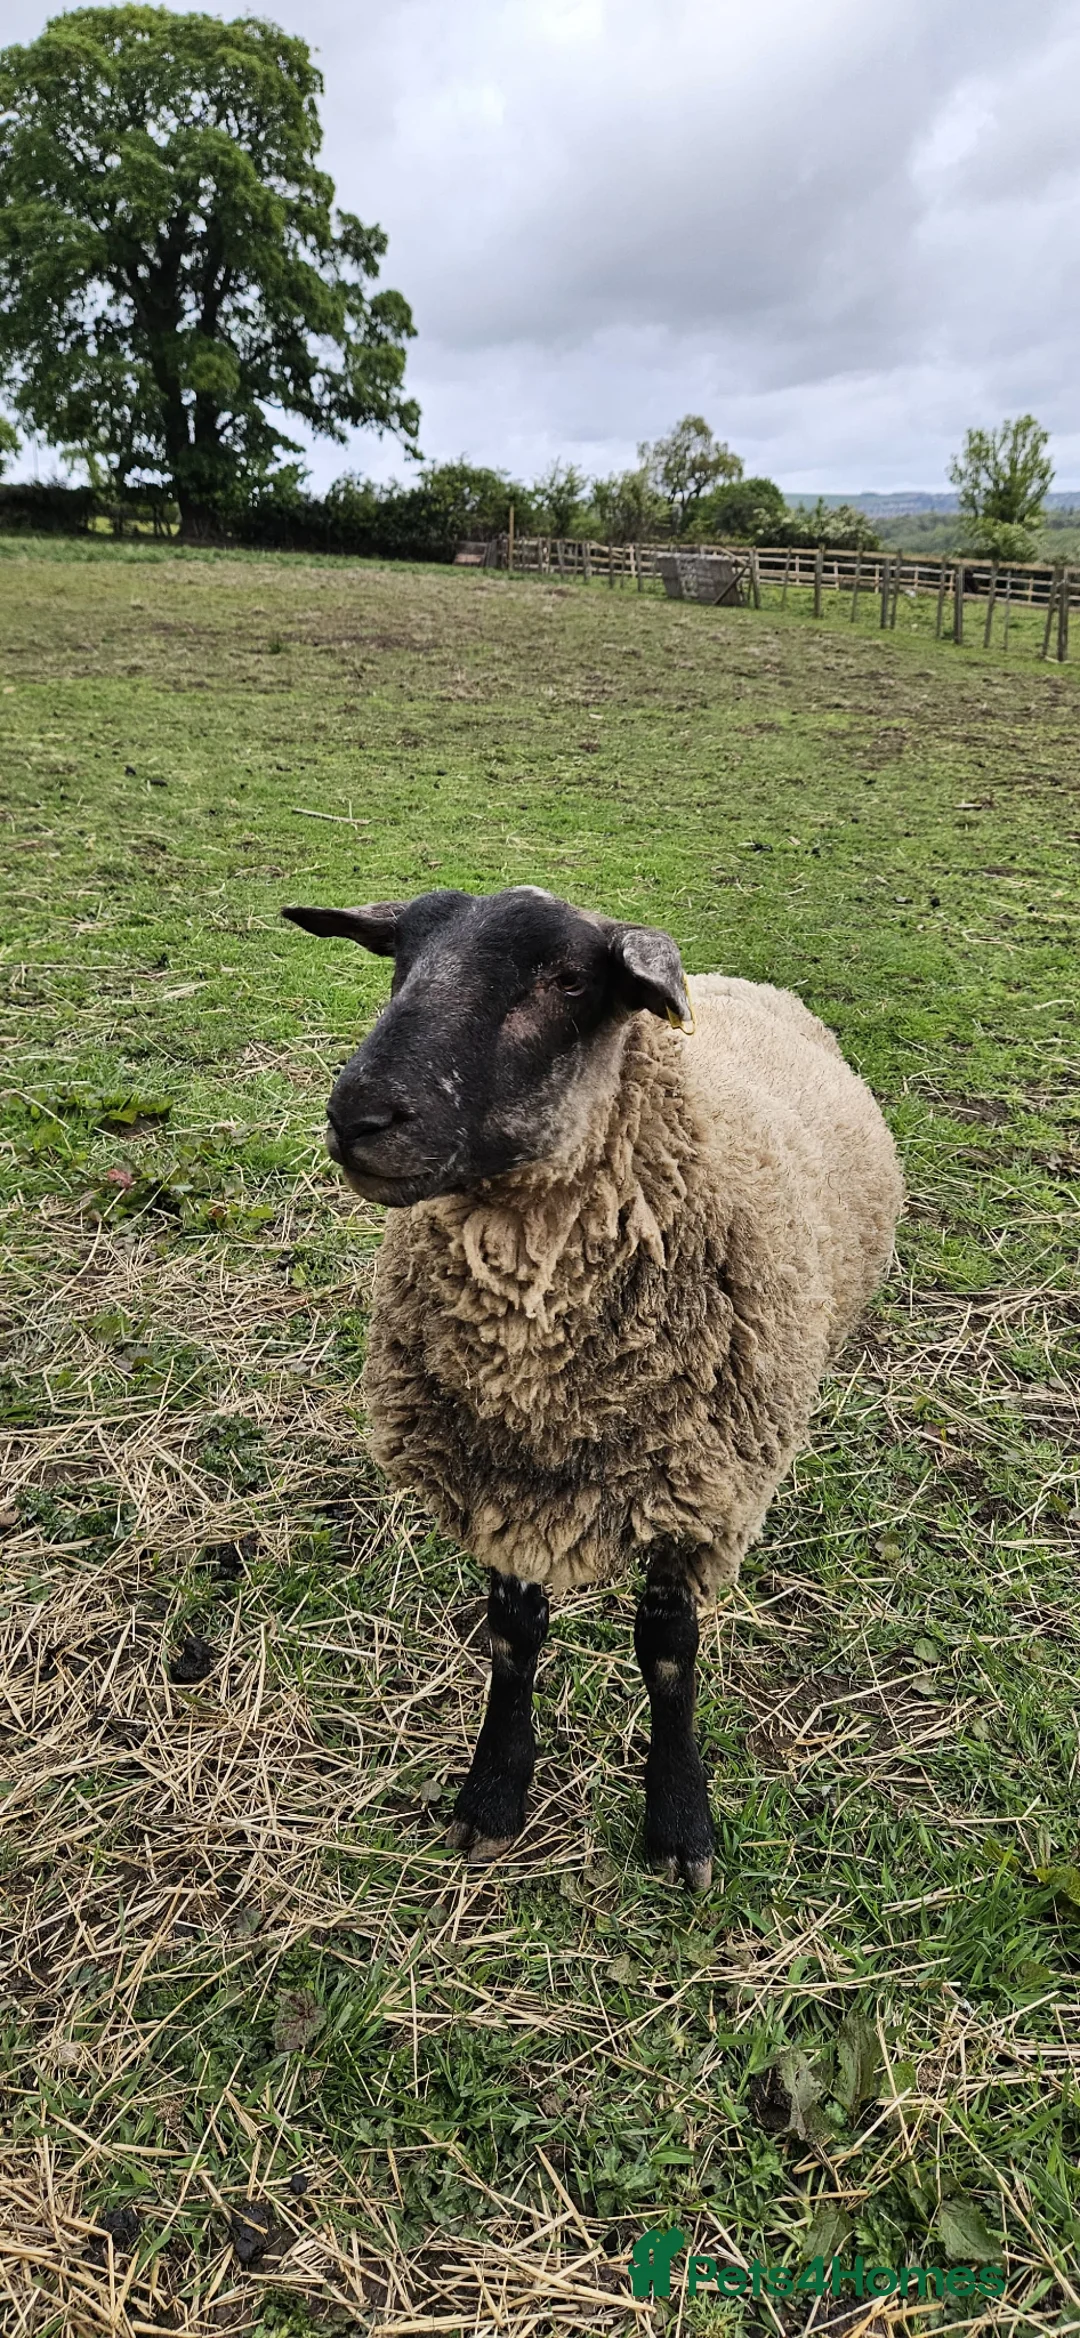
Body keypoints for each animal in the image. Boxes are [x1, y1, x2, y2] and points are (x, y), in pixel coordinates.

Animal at [283, 885, 903, 1889]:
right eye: (400, 956)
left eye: (569, 979)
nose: (359, 1116)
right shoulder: (499, 1483)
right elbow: (512, 1638)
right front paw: (493, 1795)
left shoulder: (696, 1497)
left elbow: (669, 1659)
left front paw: (680, 1821)